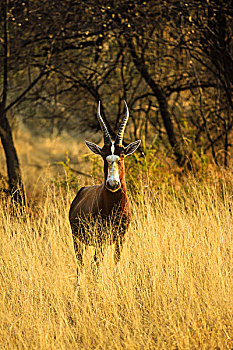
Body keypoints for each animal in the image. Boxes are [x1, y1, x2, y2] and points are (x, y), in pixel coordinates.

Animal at [69, 100, 140, 284]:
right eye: (103, 156)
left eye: (122, 156)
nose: (113, 184)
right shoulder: (99, 239)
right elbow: (96, 266)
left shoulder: (120, 238)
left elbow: (116, 263)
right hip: (78, 240)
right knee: (82, 265)